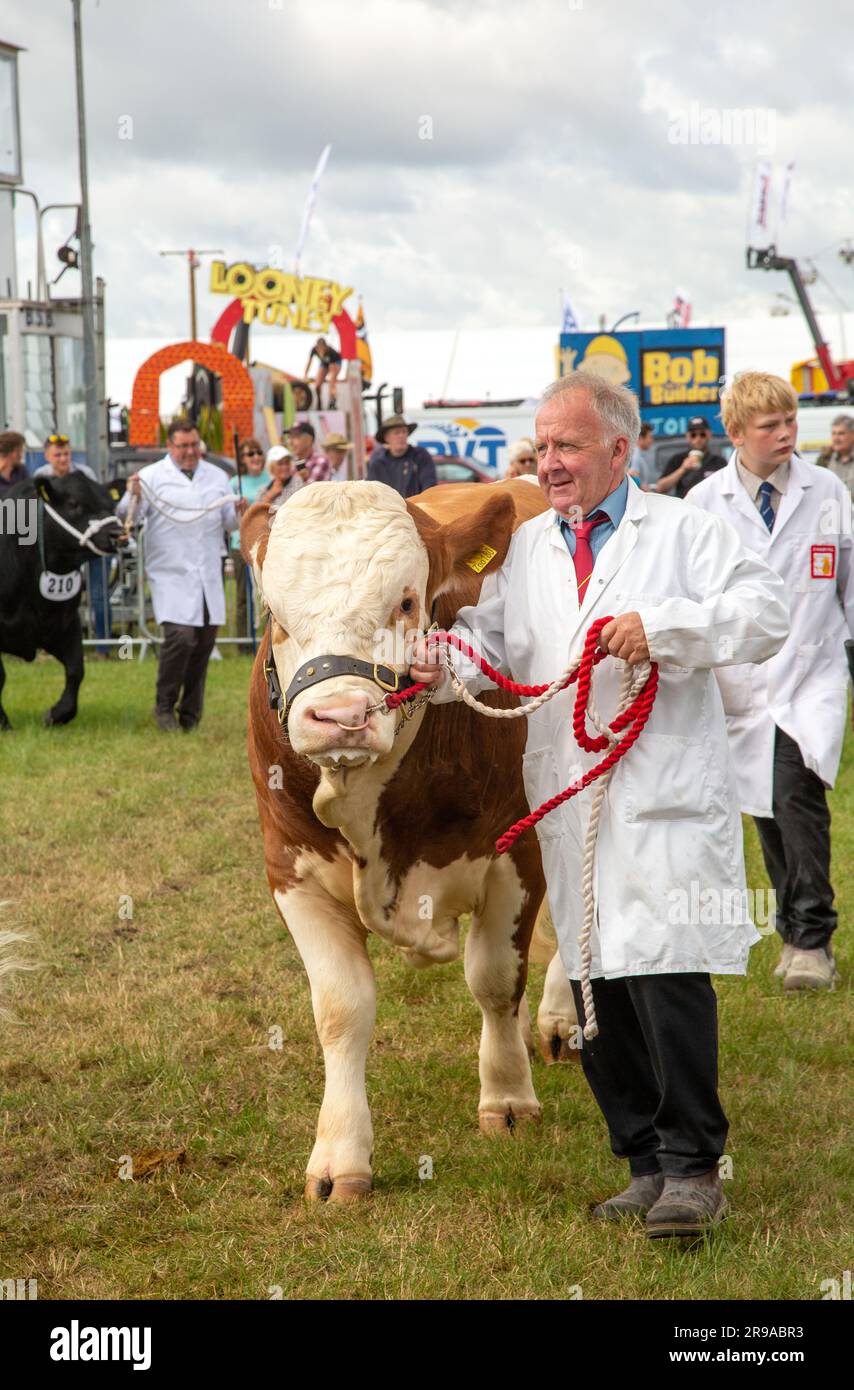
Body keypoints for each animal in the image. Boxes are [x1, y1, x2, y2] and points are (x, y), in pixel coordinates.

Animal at [0, 472, 126, 728]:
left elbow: (76, 670)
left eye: (111, 504)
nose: (117, 534)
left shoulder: (66, 623)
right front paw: (2, 721)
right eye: (73, 504)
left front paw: (57, 714)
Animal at [244, 483, 578, 1200]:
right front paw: (340, 1157)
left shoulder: (519, 854)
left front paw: (508, 1099)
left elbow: (494, 979)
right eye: (273, 614)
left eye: (404, 601)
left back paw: (561, 1021)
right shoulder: (291, 872)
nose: (339, 715)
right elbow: (341, 1008)